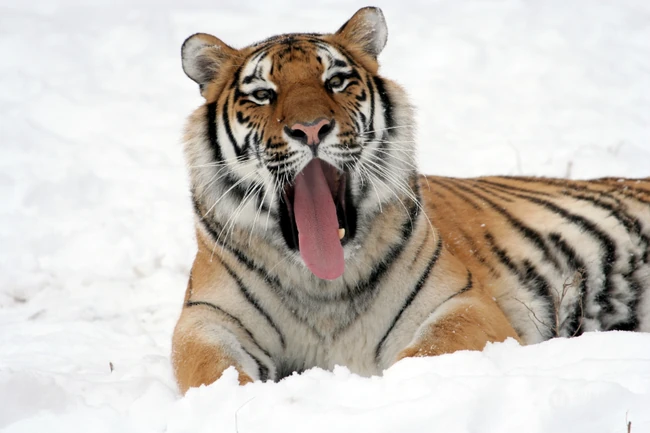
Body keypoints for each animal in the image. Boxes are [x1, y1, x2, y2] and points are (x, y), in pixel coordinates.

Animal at [172, 6, 650, 393]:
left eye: (336, 82)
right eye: (262, 94)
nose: (311, 129)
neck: (323, 287)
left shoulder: (462, 303)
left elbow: (429, 352)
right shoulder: (206, 318)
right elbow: (211, 369)